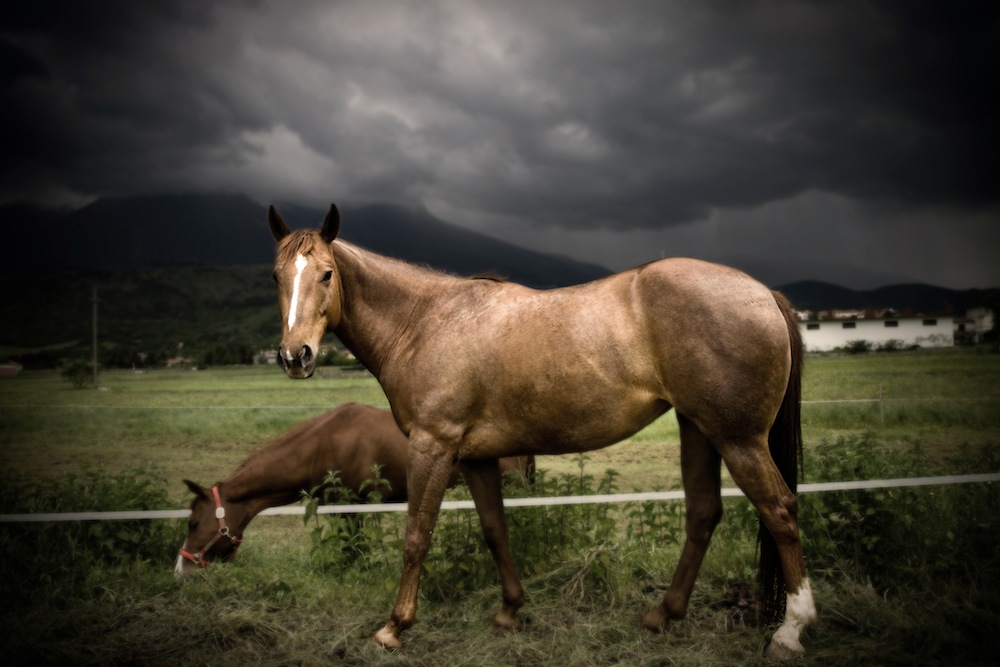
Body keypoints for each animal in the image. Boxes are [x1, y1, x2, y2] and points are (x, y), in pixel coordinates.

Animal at [267, 203, 814, 659]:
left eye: (326, 273)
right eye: (277, 275)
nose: (296, 356)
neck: (425, 322)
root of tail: (764, 293)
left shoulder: (432, 447)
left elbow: (417, 535)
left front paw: (394, 627)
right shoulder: (475, 458)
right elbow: (495, 529)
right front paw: (510, 610)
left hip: (738, 440)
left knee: (780, 511)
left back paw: (790, 632)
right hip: (699, 429)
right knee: (703, 514)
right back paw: (662, 615)